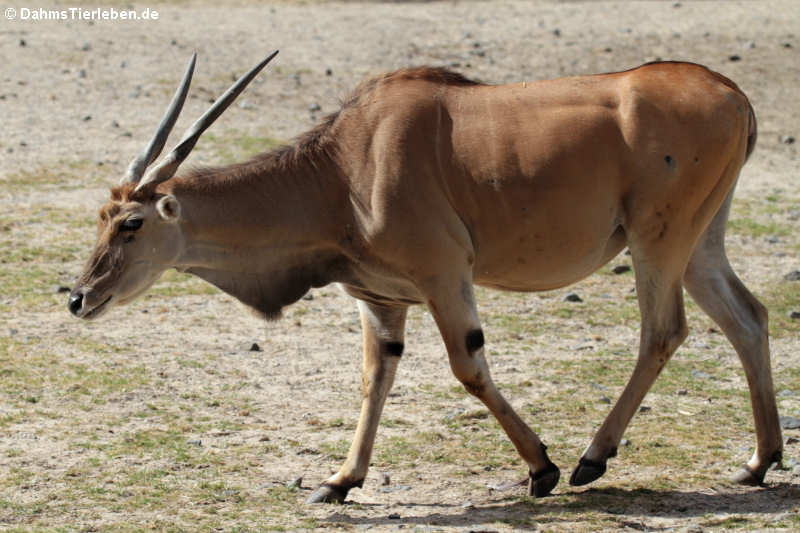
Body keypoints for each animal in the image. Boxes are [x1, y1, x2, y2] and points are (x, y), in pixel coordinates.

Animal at [69, 52, 780, 500]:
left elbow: (468, 369)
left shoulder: (443, 277)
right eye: (102, 215)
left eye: (130, 223)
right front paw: (339, 481)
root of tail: (733, 94)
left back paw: (591, 459)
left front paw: (542, 468)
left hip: (658, 240)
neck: (340, 167)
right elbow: (373, 378)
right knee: (748, 317)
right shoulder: (382, 299)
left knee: (663, 331)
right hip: (698, 245)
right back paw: (759, 462)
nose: (79, 297)